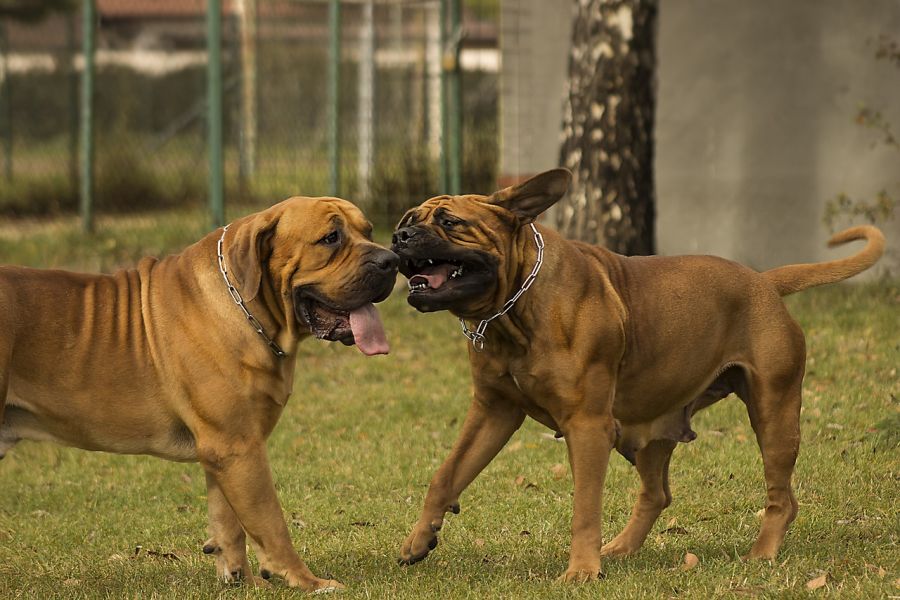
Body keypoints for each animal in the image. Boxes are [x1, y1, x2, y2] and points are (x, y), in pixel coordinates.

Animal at [0, 197, 400, 592]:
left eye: (368, 231)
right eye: (331, 238)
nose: (391, 260)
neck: (248, 309)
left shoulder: (227, 451)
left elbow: (229, 522)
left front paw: (241, 581)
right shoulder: (239, 447)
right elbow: (270, 521)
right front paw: (307, 581)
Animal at [388, 169, 884, 580]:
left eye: (450, 222)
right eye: (409, 218)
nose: (400, 235)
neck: (514, 307)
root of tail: (765, 282)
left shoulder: (587, 426)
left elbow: (585, 506)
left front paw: (581, 571)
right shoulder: (494, 412)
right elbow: (446, 474)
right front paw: (419, 538)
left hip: (773, 414)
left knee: (781, 497)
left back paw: (761, 554)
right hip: (645, 431)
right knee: (657, 494)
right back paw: (621, 548)